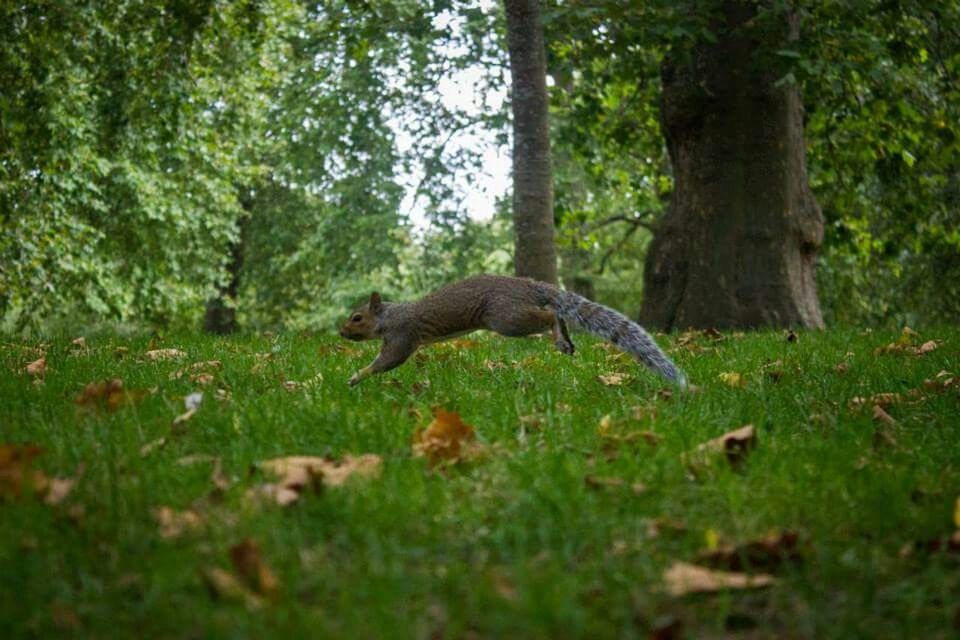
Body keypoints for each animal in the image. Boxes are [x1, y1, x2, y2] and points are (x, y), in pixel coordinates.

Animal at [342, 274, 688, 388]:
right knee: (555, 315)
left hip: (506, 318)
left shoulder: (402, 336)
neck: (388, 316)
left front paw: (356, 376)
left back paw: (558, 336)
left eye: (357, 318)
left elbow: (387, 361)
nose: (341, 332)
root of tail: (527, 285)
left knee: (549, 314)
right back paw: (566, 340)